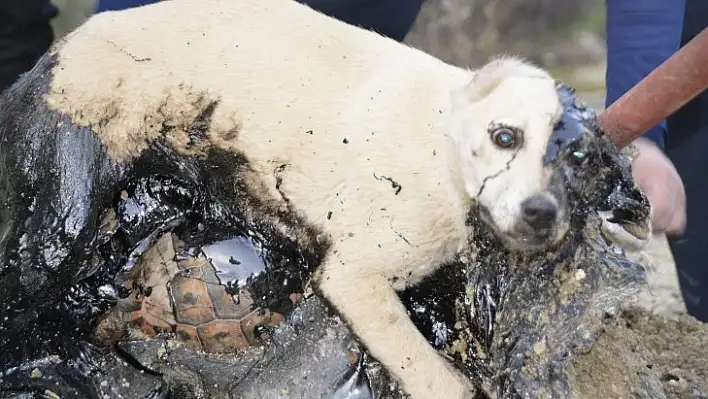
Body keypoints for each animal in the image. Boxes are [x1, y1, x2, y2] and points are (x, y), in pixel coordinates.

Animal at [45, 1, 580, 398]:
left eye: (580, 158)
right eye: (505, 137)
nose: (541, 214)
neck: (442, 140)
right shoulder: (356, 274)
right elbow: (430, 370)